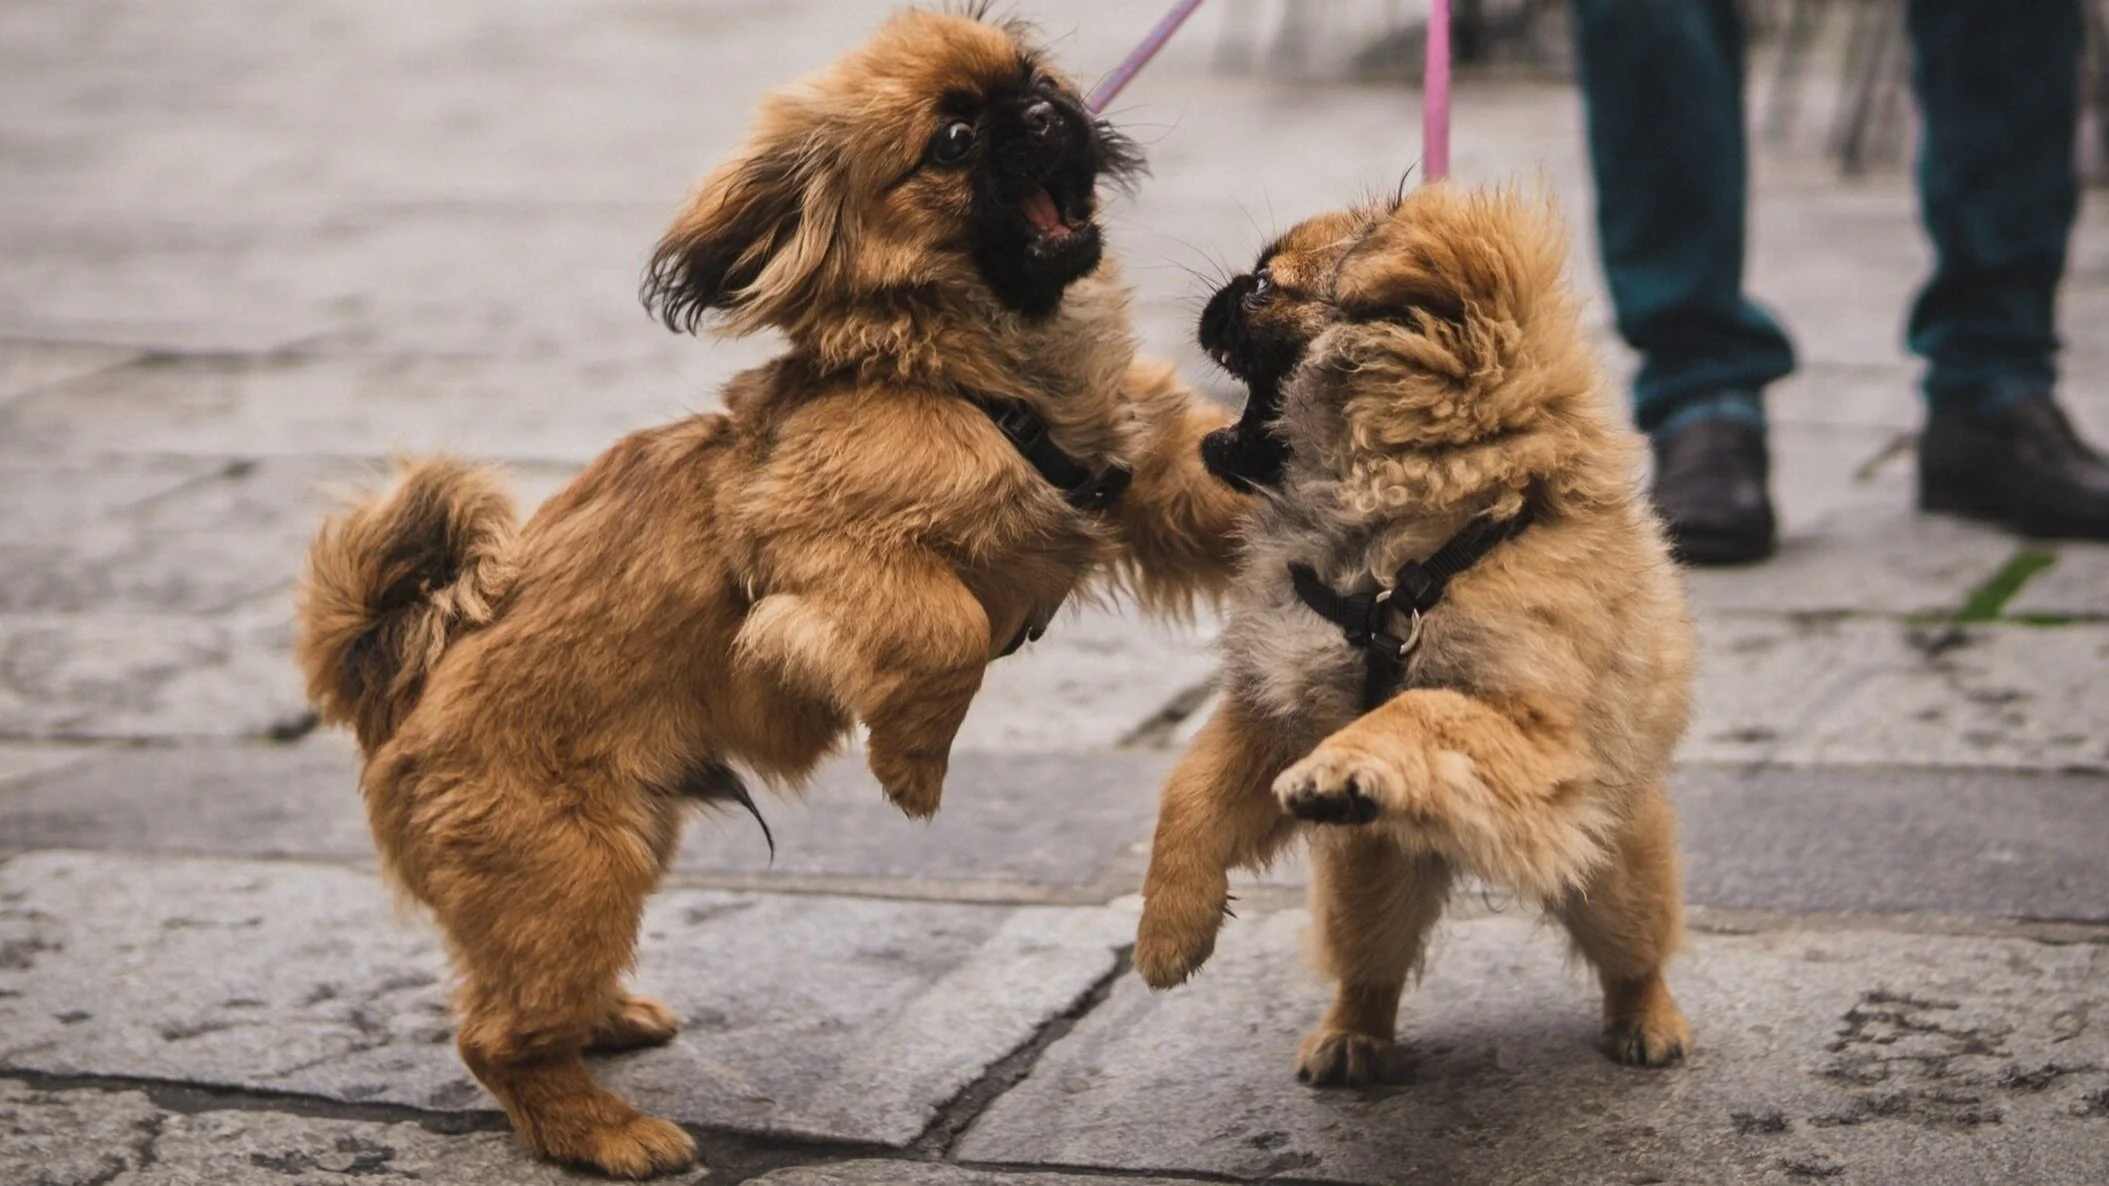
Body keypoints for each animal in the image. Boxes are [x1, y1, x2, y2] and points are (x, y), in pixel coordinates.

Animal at [297, 13, 1248, 1173]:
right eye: (954, 139)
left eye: (1034, 78)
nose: (1043, 109)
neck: (978, 375)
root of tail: (401, 692)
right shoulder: (810, 545)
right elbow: (945, 627)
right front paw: (913, 767)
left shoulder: (1156, 476)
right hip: (574, 869)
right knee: (493, 1036)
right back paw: (606, 1132)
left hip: (616, 850)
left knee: (517, 998)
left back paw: (606, 1024)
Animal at [1138, 184, 1695, 1080]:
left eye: (1262, 289)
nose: (1216, 294)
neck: (1387, 554)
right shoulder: (1273, 709)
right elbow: (1187, 794)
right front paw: (1168, 930)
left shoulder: (1535, 731)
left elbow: (1419, 708)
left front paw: (1344, 767)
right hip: (1364, 886)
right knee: (1369, 971)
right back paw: (1349, 1039)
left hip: (1613, 873)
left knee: (1634, 953)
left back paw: (1647, 1023)